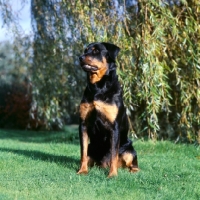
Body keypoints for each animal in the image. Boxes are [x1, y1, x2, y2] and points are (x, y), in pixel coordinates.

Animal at [77, 41, 139, 177]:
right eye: (85, 50)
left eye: (96, 51)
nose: (80, 57)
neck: (98, 88)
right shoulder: (83, 124)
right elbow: (83, 152)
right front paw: (82, 170)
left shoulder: (114, 126)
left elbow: (113, 154)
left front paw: (112, 175)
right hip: (92, 148)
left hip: (129, 149)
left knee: (132, 161)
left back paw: (132, 171)